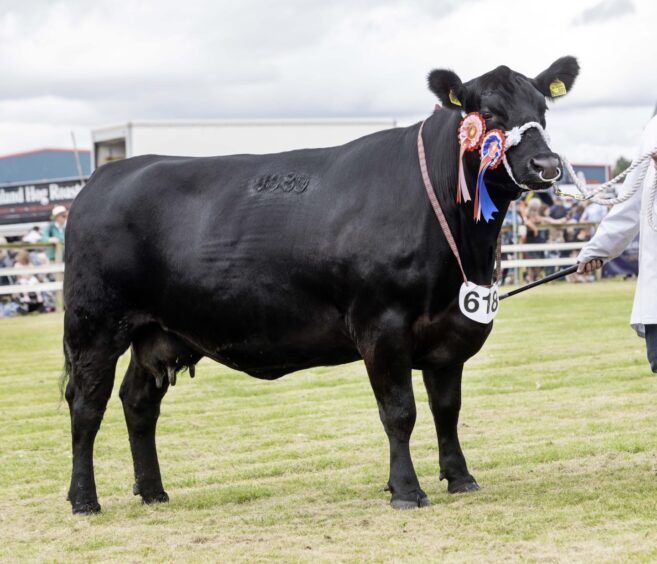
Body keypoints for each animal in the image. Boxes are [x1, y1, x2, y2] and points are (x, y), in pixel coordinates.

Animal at [62, 56, 580, 512]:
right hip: (94, 323)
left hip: (160, 331)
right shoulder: (382, 326)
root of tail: (107, 174)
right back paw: (84, 500)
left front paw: (460, 478)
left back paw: (153, 491)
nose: (546, 165)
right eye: (488, 112)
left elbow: (446, 409)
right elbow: (400, 412)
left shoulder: (451, 328)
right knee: (86, 404)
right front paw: (406, 491)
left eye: (543, 110)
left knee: (138, 401)